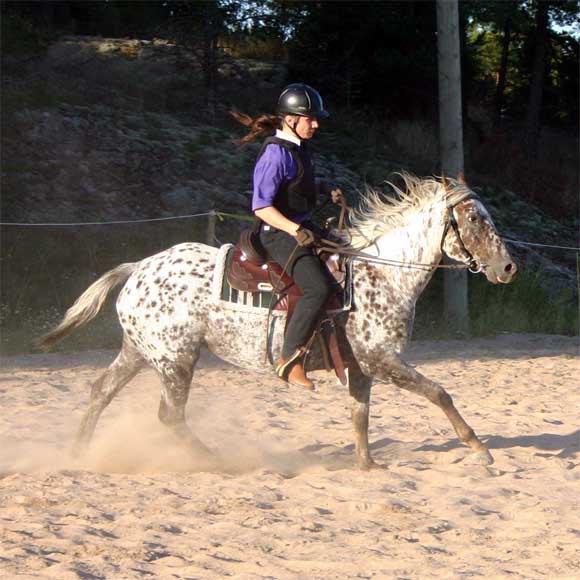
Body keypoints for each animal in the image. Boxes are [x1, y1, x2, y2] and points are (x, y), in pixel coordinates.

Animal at [38, 174, 516, 468]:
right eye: (475, 218)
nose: (508, 268)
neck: (382, 274)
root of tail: (138, 268)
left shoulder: (361, 368)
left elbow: (360, 416)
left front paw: (367, 465)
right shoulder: (383, 361)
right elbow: (439, 393)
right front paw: (480, 449)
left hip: (141, 352)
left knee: (101, 391)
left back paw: (78, 454)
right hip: (176, 361)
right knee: (169, 415)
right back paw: (213, 460)